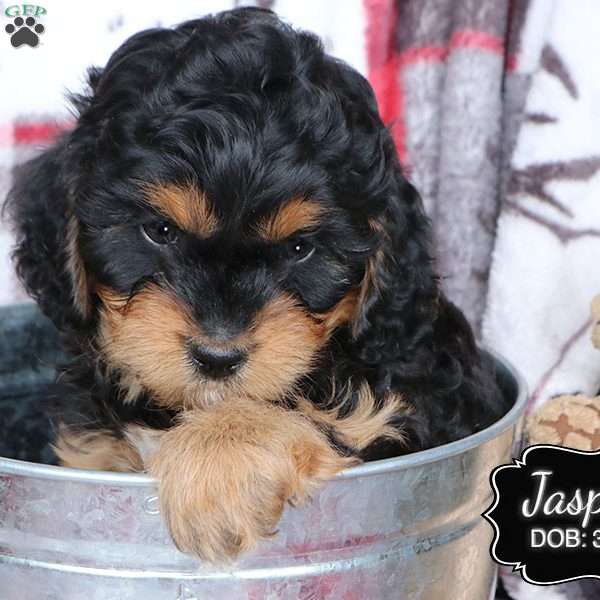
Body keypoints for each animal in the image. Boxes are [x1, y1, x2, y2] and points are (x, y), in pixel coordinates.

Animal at [7, 8, 508, 564]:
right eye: (159, 231)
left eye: (300, 249)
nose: (218, 357)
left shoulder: (420, 403)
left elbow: (341, 415)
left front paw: (219, 456)